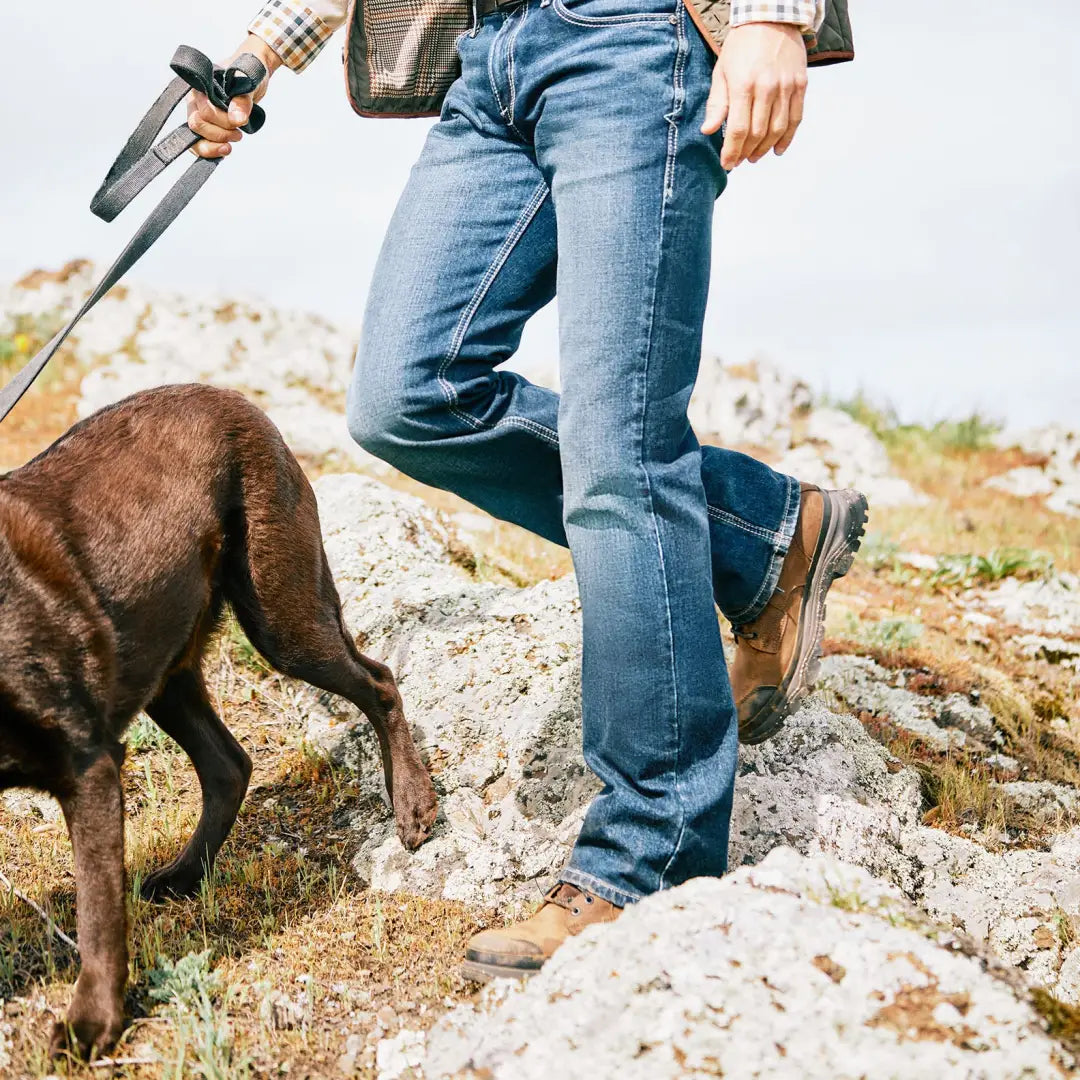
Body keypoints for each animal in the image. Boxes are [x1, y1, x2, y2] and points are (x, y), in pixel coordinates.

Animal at [1, 384, 438, 1058]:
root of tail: (232, 397)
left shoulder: (89, 767)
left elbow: (97, 912)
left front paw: (92, 1023)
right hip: (166, 663)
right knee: (228, 765)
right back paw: (184, 875)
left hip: (281, 614)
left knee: (380, 682)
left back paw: (413, 805)